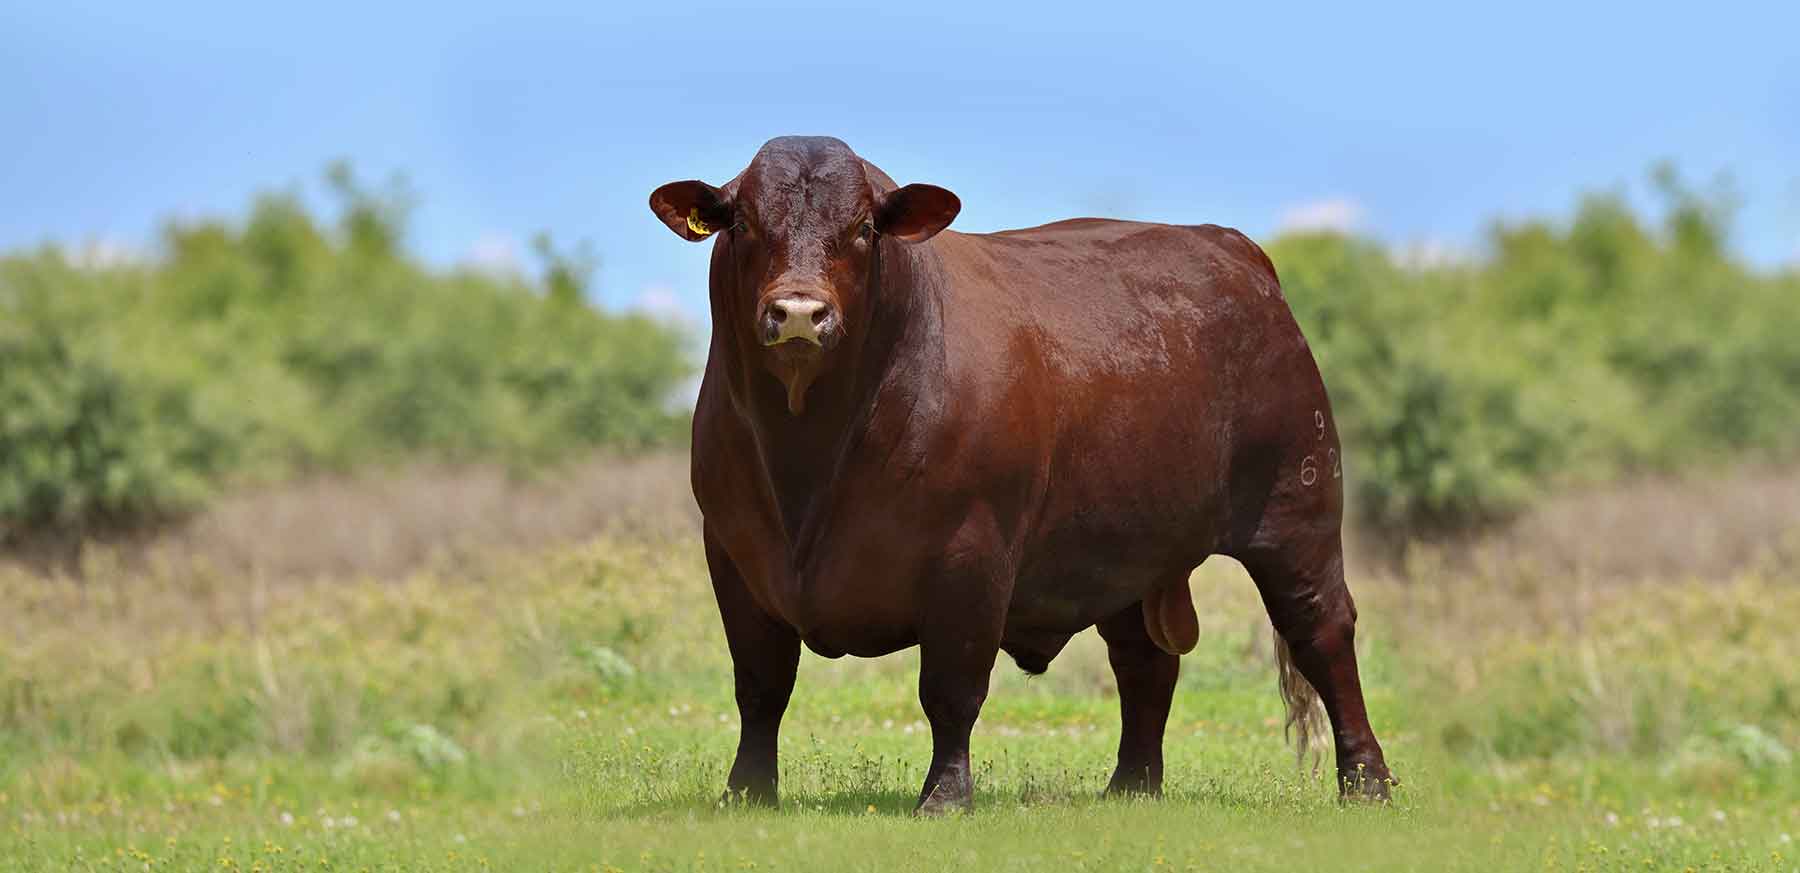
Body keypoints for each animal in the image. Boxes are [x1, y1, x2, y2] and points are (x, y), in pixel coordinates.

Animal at [649, 136, 1395, 814]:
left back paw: (1366, 781)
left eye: (862, 228)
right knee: (1145, 661)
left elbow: (951, 689)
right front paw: (746, 792)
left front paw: (945, 797)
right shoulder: (735, 555)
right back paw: (1131, 786)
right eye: (744, 224)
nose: (800, 313)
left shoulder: (971, 556)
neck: (808, 458)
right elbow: (761, 685)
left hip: (1297, 510)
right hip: (1122, 549)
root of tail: (1235, 250)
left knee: (1324, 631)